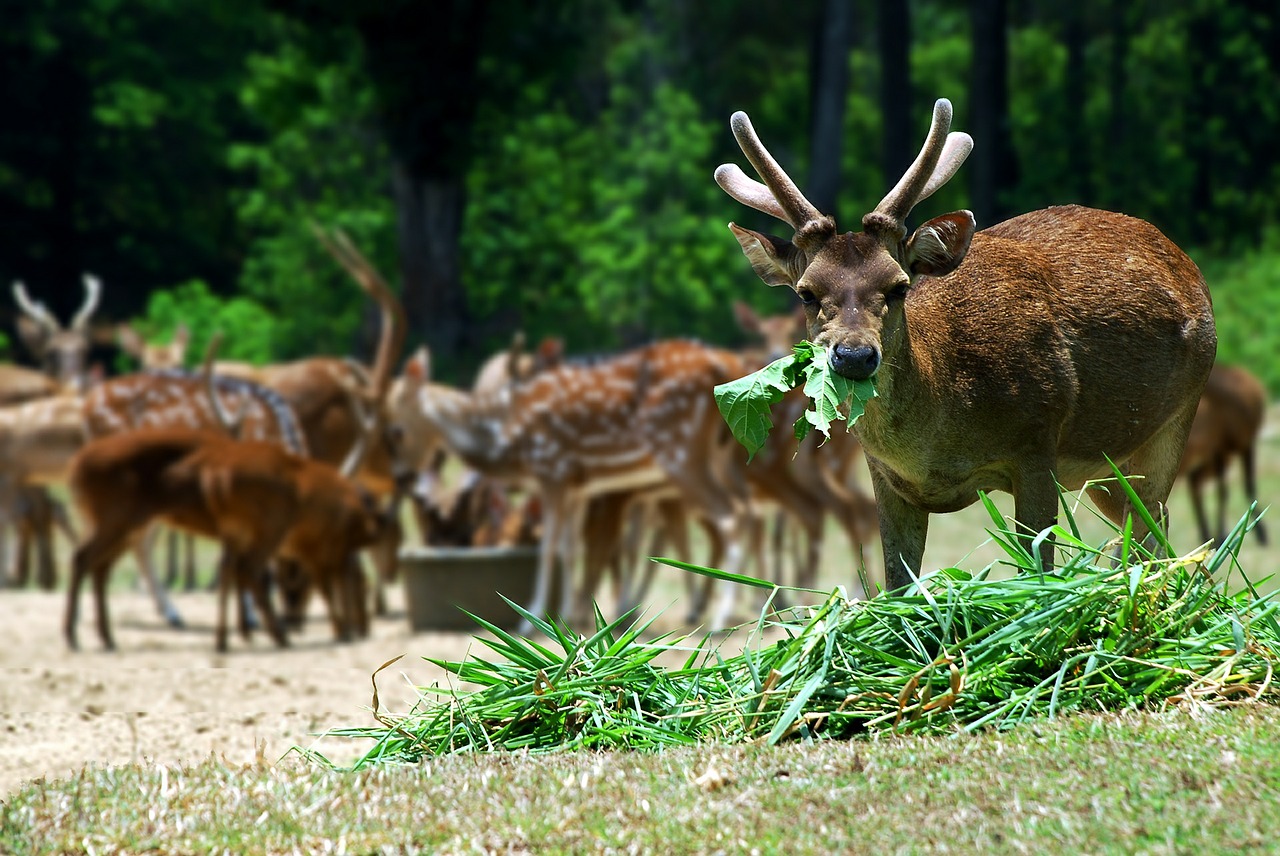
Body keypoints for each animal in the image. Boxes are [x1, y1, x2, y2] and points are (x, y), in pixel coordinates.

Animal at [716, 95, 1213, 588]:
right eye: (806, 293)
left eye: (899, 286)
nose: (854, 355)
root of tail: (1187, 263)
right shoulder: (883, 474)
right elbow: (898, 583)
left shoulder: (1039, 439)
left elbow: (1038, 568)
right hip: (1109, 466)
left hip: (1178, 415)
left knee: (1152, 528)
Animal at [1177, 363, 1269, 545]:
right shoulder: (1218, 450)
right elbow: (1223, 493)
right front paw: (1221, 536)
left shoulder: (1245, 444)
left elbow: (1245, 488)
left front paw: (1260, 533)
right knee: (1195, 485)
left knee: (1195, 484)